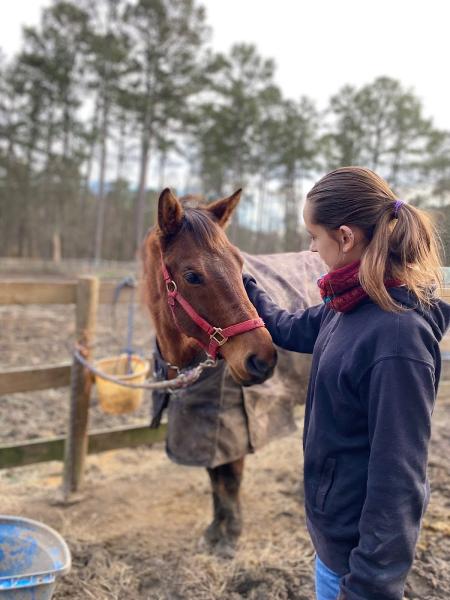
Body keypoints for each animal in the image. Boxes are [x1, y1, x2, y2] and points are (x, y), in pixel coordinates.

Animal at [141, 188, 324, 556]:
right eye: (192, 275)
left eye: (241, 266)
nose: (262, 359)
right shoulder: (203, 428)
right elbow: (215, 480)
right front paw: (214, 531)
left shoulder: (234, 428)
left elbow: (230, 481)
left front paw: (230, 536)